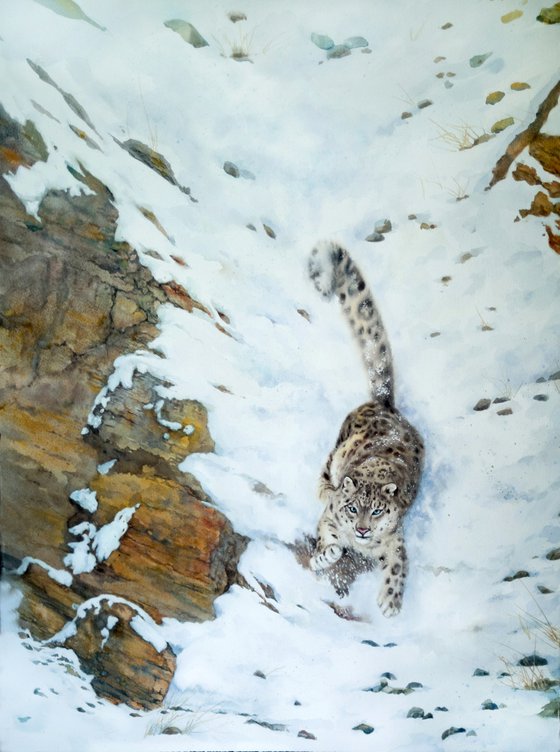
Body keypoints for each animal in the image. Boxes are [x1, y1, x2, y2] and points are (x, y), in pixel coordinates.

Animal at [308, 241, 422, 616]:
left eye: (376, 511)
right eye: (352, 508)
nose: (360, 530)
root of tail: (387, 405)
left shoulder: (395, 539)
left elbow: (399, 564)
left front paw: (390, 602)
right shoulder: (330, 519)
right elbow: (329, 540)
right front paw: (325, 556)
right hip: (337, 447)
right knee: (324, 471)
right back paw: (324, 487)